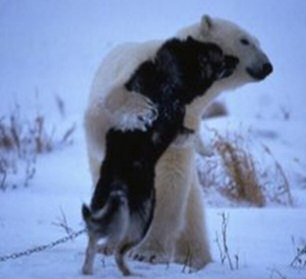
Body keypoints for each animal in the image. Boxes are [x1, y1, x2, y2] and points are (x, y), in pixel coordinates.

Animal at [83, 14, 272, 272]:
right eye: (245, 40)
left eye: (258, 41)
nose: (268, 66)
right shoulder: (132, 82)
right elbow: (104, 115)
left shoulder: (187, 119)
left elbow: (171, 180)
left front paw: (150, 253)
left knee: (192, 212)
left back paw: (195, 258)